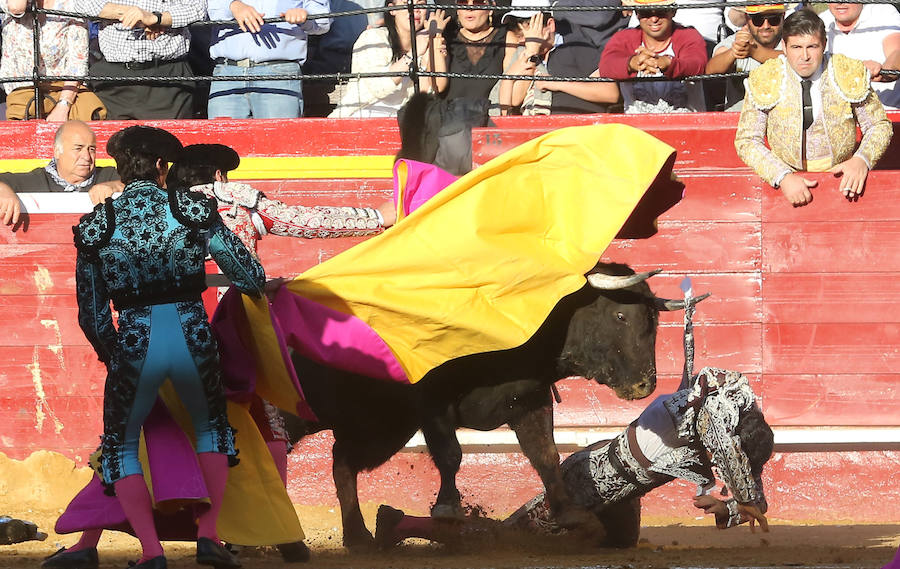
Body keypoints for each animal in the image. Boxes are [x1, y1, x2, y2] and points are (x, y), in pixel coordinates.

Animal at [282, 262, 688, 544]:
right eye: (621, 315)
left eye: (654, 321)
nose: (645, 384)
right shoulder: (433, 402)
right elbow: (451, 454)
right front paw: (448, 507)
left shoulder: (529, 400)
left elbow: (545, 455)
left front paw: (568, 513)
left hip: (381, 426)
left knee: (342, 461)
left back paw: (358, 536)